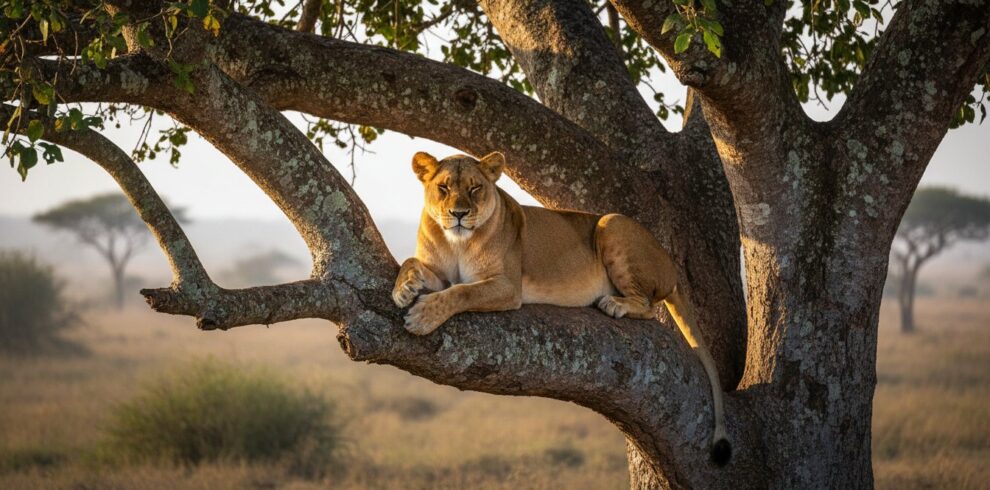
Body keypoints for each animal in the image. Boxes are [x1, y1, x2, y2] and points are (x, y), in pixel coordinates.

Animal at [392, 151, 731, 465]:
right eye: (444, 187)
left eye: (475, 188)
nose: (459, 213)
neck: (457, 242)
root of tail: (671, 269)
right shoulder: (438, 271)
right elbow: (411, 262)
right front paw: (403, 288)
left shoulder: (507, 286)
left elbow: (461, 292)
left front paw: (422, 316)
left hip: (612, 222)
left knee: (648, 305)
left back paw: (614, 304)